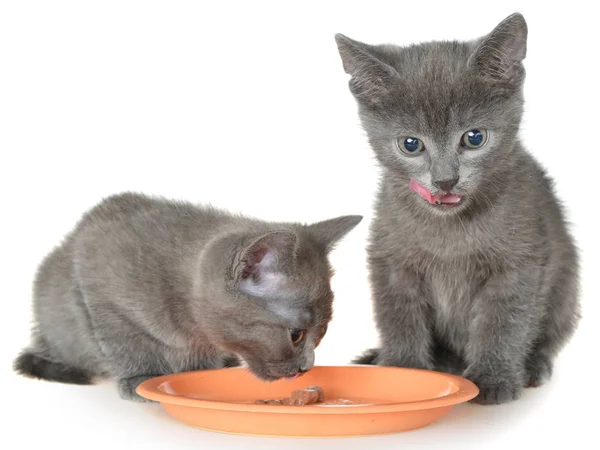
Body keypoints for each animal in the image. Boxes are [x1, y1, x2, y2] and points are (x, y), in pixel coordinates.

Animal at [12, 192, 360, 400]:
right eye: (296, 334)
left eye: (323, 331)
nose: (306, 368)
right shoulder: (103, 299)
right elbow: (128, 344)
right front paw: (143, 378)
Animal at [336, 12, 580, 404]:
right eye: (410, 144)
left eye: (474, 138)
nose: (445, 180)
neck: (450, 229)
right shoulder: (391, 261)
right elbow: (398, 316)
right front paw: (403, 371)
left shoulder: (519, 263)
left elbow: (504, 321)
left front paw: (493, 378)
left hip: (567, 284)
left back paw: (533, 365)